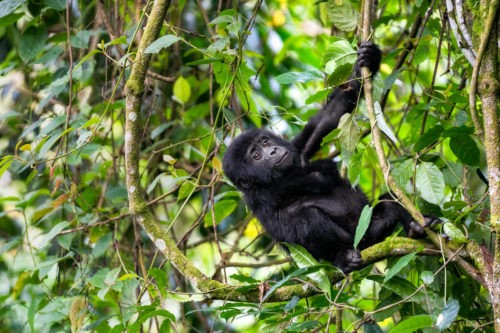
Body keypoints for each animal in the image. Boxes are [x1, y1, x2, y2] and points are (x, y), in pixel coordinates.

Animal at [223, 41, 438, 272]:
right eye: (256, 156)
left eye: (265, 142)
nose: (272, 152)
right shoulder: (261, 192)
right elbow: (315, 181)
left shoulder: (298, 149)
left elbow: (330, 115)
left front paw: (368, 58)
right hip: (350, 242)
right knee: (308, 219)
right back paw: (342, 258)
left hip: (371, 227)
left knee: (389, 202)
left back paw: (416, 227)